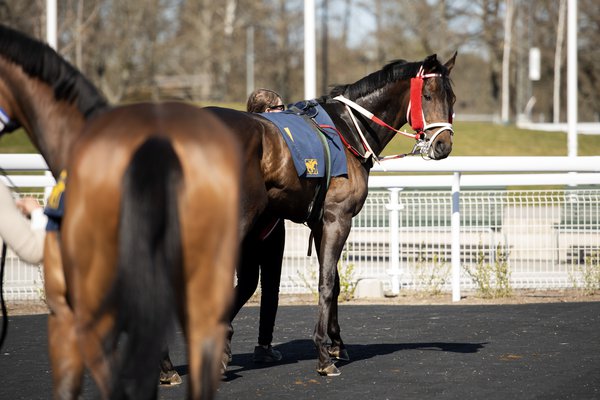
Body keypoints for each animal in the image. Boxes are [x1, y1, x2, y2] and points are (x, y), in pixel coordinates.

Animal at [209, 52, 458, 376]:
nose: (443, 145)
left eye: (452, 98)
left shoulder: (320, 223)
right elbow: (327, 283)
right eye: (427, 95)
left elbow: (336, 282)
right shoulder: (338, 218)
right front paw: (324, 354)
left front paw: (338, 344)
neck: (347, 129)